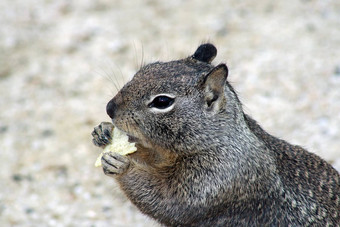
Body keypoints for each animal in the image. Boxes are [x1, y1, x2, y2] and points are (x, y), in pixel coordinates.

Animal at [91, 43, 340, 226]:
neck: (218, 138)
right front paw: (103, 131)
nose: (109, 108)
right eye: (145, 69)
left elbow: (166, 200)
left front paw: (123, 166)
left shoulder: (215, 179)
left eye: (162, 101)